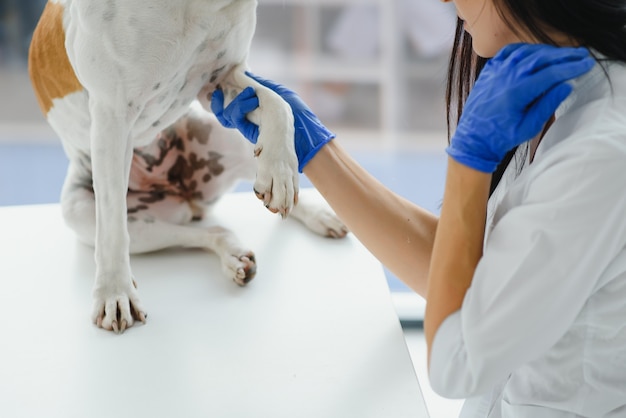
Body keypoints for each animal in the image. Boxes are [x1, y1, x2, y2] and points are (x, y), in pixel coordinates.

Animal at [28, 0, 346, 334]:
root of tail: (187, 194)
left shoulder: (221, 82)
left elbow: (279, 103)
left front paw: (281, 172)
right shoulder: (111, 114)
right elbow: (113, 230)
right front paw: (115, 293)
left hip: (228, 137)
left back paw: (318, 214)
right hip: (91, 215)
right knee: (201, 232)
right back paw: (233, 255)